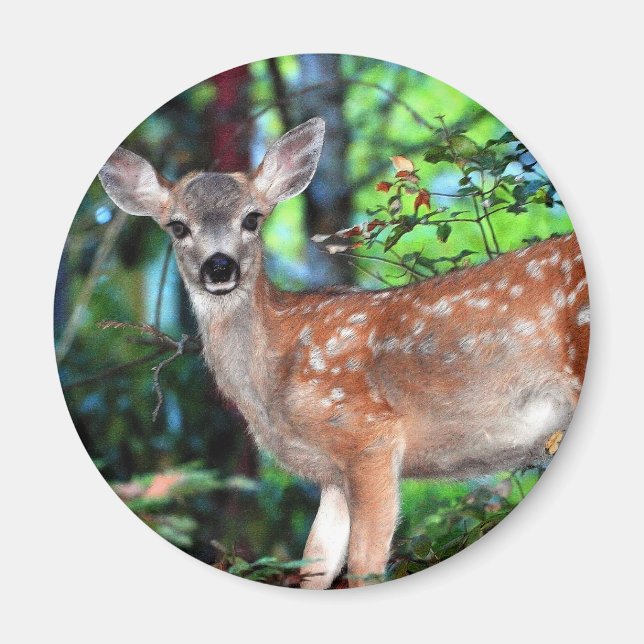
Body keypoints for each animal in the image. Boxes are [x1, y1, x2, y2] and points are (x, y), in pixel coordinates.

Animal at [98, 117, 590, 589]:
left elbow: (364, 566)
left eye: (252, 219)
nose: (219, 266)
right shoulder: (331, 473)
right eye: (178, 226)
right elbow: (315, 566)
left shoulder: (367, 432)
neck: (273, 381)